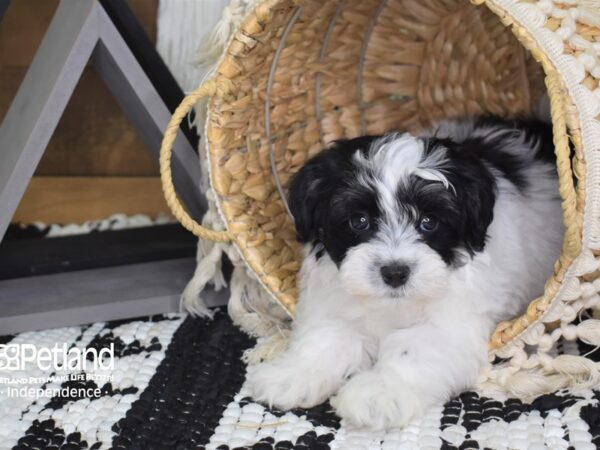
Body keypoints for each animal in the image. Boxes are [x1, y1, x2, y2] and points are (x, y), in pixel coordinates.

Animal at [246, 116, 564, 428]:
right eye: (359, 221)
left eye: (429, 222)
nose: (395, 272)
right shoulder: (335, 303)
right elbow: (326, 338)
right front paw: (292, 375)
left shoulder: (451, 325)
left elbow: (411, 348)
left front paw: (380, 393)